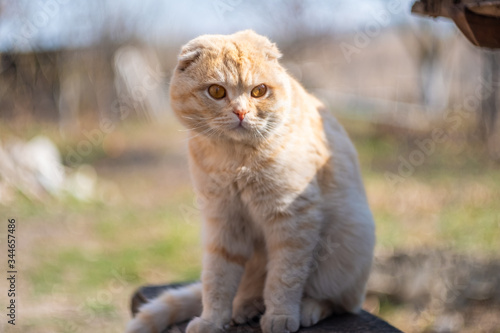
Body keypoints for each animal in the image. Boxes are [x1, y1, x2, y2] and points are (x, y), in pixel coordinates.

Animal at [125, 29, 376, 332]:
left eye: (259, 91)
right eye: (217, 91)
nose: (241, 113)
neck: (236, 160)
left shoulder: (292, 218)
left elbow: (284, 276)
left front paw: (281, 315)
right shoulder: (223, 221)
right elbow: (217, 279)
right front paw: (212, 320)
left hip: (349, 245)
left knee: (339, 302)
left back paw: (307, 308)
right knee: (246, 289)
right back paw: (245, 307)